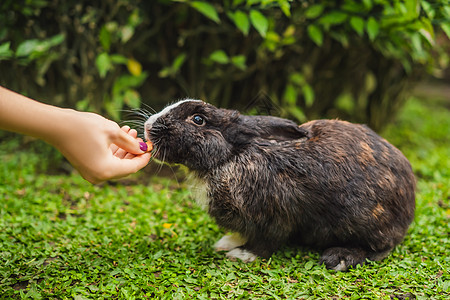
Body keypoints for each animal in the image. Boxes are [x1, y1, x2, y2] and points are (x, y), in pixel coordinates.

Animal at [143, 99, 414, 270]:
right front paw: (226, 243)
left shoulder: (276, 216)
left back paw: (340, 258)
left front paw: (241, 255)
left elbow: (266, 243)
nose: (147, 127)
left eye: (198, 119)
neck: (230, 156)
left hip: (366, 220)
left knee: (381, 247)